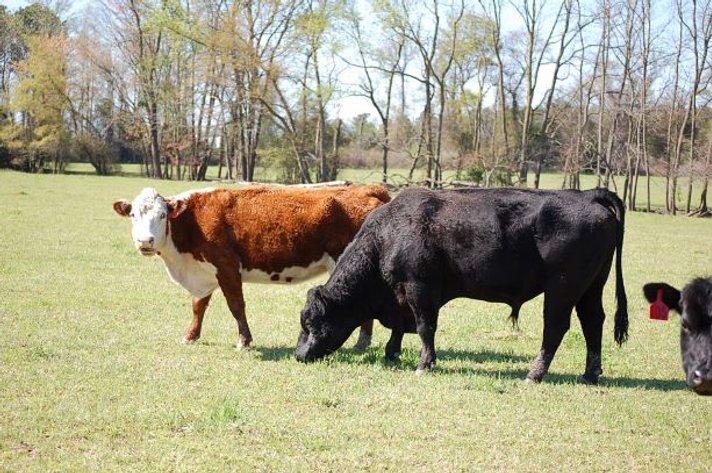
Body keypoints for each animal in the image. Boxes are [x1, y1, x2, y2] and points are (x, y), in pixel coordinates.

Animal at [112, 184, 390, 350]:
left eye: (162, 215)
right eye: (134, 215)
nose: (145, 241)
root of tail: (369, 188)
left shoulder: (226, 267)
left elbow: (236, 306)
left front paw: (244, 341)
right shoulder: (204, 272)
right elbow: (198, 306)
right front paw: (191, 336)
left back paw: (361, 344)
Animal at [294, 185, 628, 384]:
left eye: (312, 322)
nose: (299, 355)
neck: (386, 236)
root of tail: (587, 194)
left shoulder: (420, 288)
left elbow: (425, 327)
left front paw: (424, 364)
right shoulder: (402, 296)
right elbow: (401, 327)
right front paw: (392, 352)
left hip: (562, 289)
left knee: (556, 327)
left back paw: (534, 373)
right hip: (591, 287)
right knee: (593, 322)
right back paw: (590, 374)